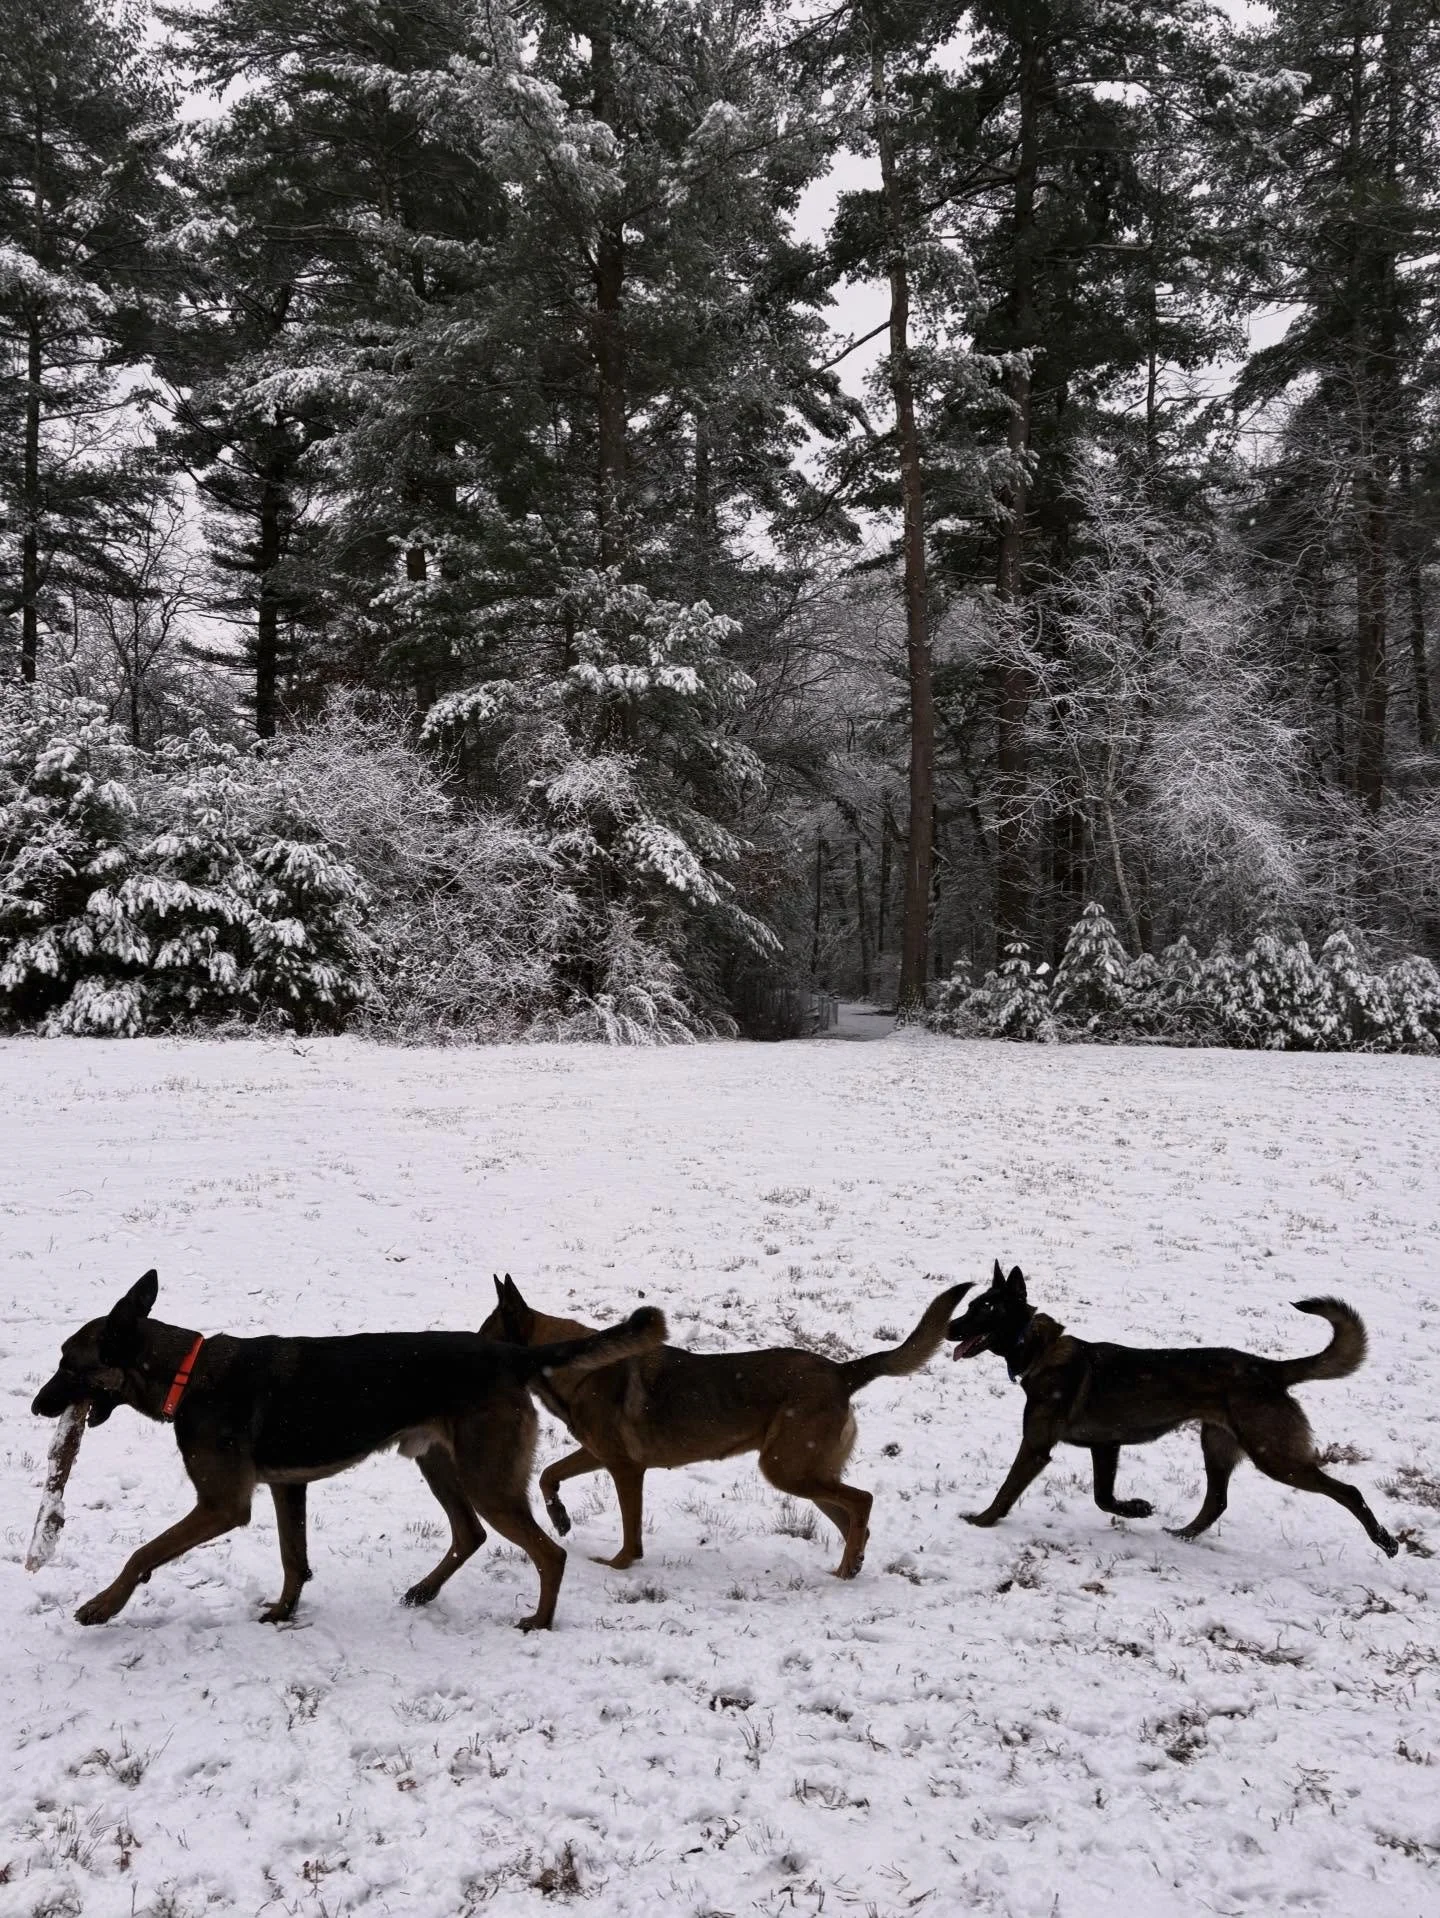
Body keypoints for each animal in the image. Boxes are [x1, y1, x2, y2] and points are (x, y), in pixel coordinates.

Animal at [31, 1269, 665, 1628]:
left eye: (67, 1363)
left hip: (485, 1478)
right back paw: (425, 1590)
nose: (37, 1407)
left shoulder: (222, 1505)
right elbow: (293, 1558)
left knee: (546, 1553)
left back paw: (540, 1620)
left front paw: (102, 1605)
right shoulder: (286, 1486)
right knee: (470, 1534)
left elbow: (143, 1552)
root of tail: (514, 1355)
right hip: (438, 1463)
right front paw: (284, 1612)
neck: (185, 1373)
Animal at [480, 1273, 968, 1579]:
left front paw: (619, 1566)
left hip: (787, 1469)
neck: (568, 1365)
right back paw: (853, 1564)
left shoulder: (625, 1468)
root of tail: (842, 1372)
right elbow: (548, 1474)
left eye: (482, 1340)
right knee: (853, 1519)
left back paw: (849, 1567)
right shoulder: (597, 1454)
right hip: (807, 1472)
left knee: (862, 1501)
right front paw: (559, 1517)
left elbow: (630, 1531)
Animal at [946, 1262, 1397, 1556]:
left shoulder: (1037, 1446)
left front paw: (981, 1521)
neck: (1037, 1349)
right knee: (1217, 1501)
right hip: (1217, 1445)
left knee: (1348, 1491)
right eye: (969, 1306)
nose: (948, 1327)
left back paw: (1385, 1540)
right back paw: (1180, 1534)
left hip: (1274, 1455)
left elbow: (1007, 1490)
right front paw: (1137, 1508)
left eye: (985, 1309)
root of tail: (1269, 1369)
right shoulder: (1105, 1446)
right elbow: (1103, 1497)